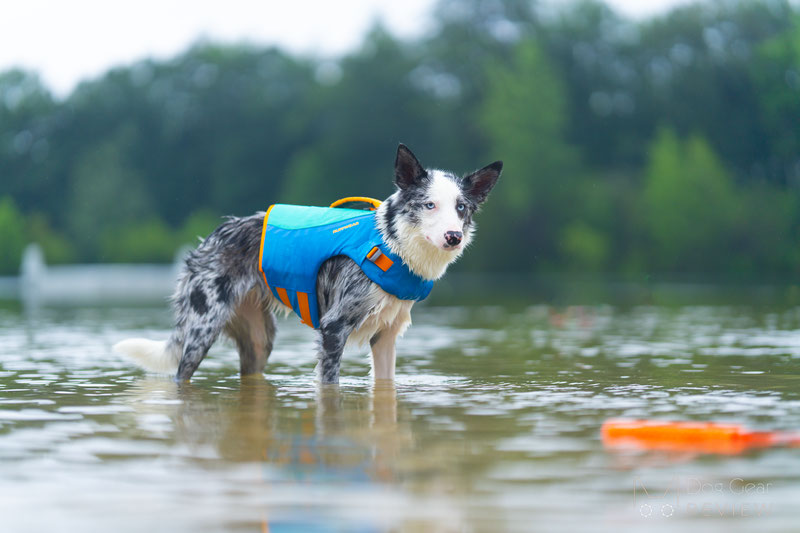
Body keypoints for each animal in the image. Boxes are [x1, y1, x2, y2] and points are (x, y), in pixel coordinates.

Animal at [114, 144, 500, 382]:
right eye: (428, 205)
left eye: (461, 208)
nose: (454, 236)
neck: (392, 244)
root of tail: (210, 237)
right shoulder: (333, 329)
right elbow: (329, 382)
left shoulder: (386, 337)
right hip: (201, 329)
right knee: (181, 375)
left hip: (259, 342)